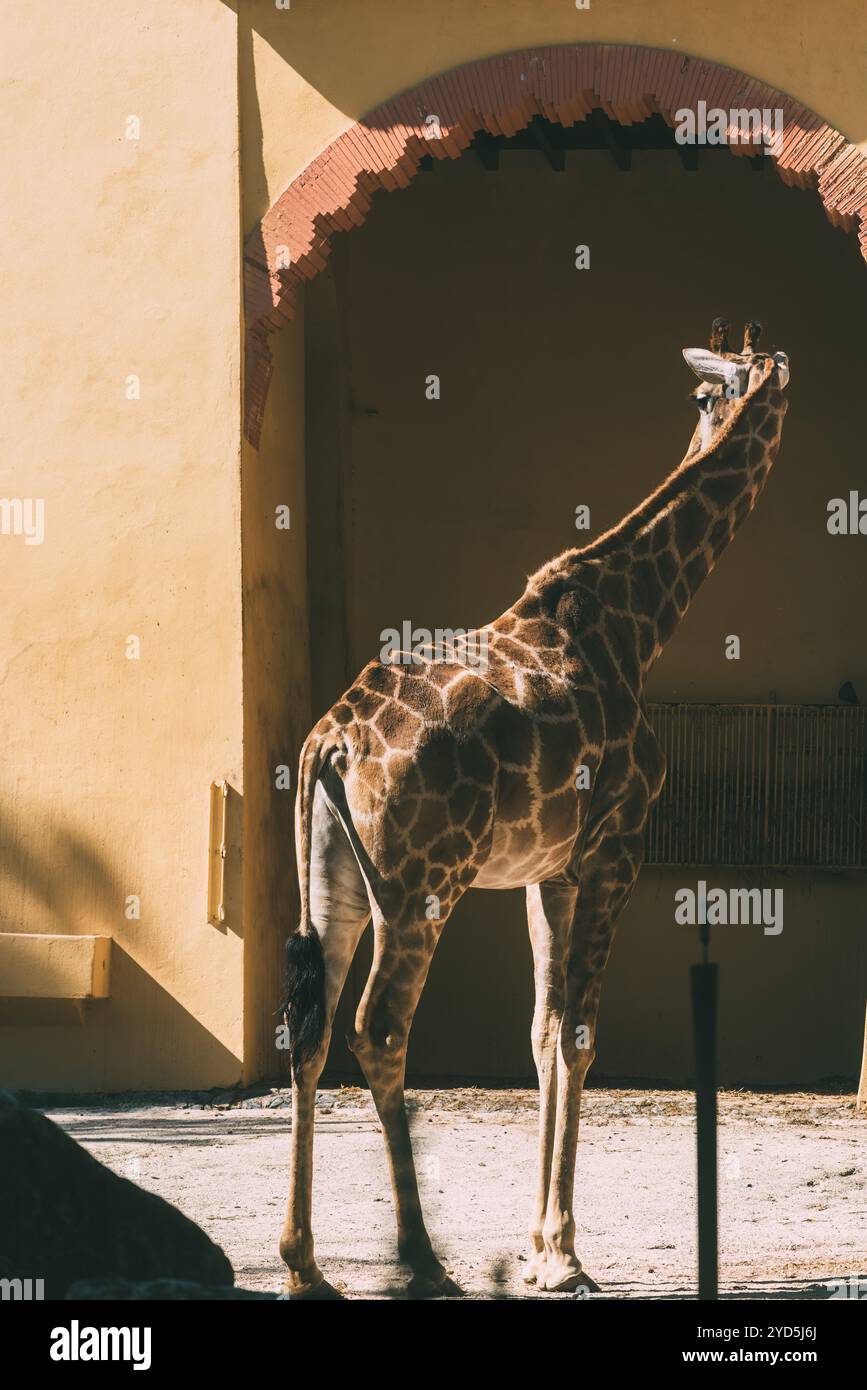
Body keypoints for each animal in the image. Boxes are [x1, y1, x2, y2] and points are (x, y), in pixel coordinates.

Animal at [279, 320, 790, 1298]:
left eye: (710, 390)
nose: (739, 411)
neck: (638, 620)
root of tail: (330, 743)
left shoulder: (546, 871)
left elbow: (543, 1031)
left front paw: (542, 1244)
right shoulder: (617, 848)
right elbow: (581, 1033)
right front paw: (562, 1255)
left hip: (331, 882)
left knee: (311, 1029)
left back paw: (303, 1264)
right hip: (420, 889)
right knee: (378, 1028)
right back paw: (421, 1259)